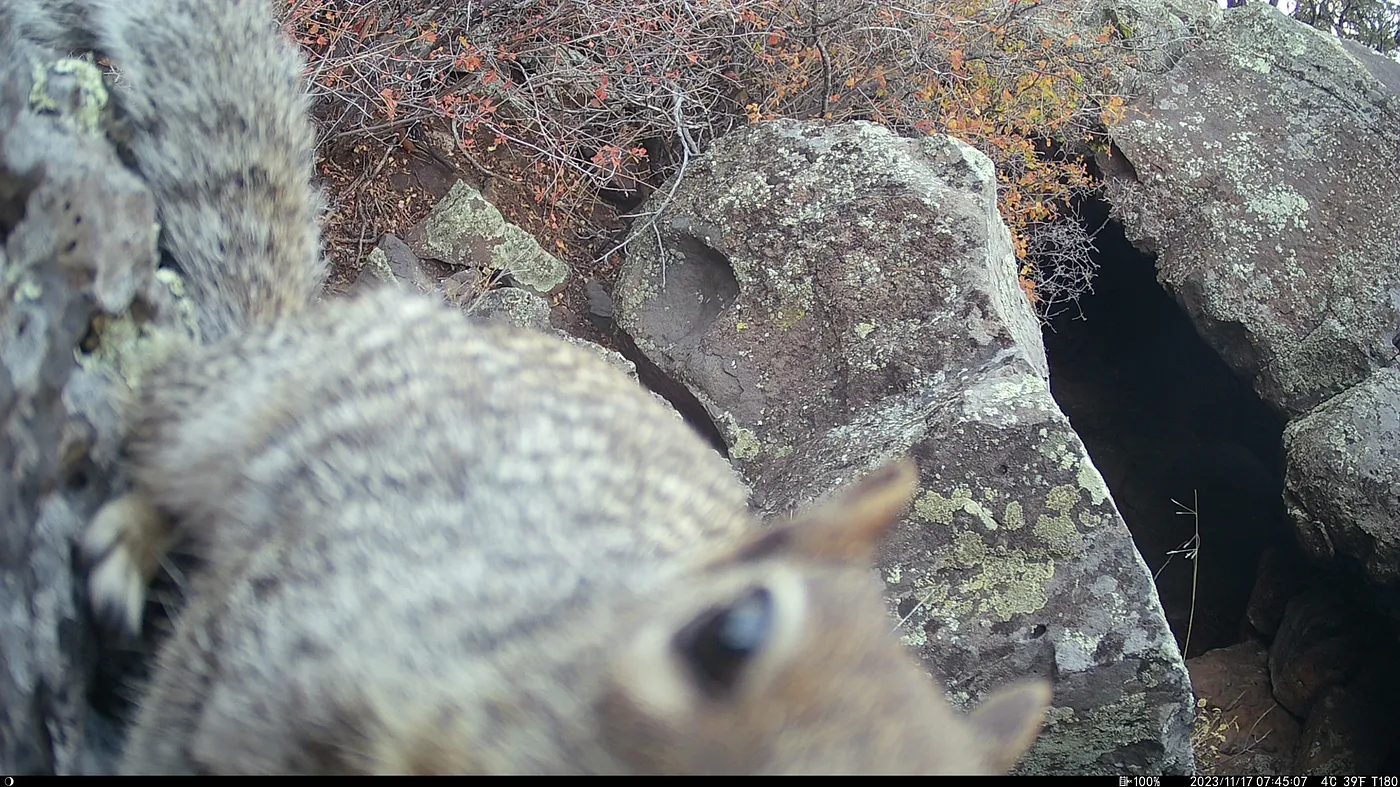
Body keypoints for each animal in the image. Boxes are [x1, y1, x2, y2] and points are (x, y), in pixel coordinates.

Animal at [40, 0, 1052, 772]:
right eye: (728, 634)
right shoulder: (300, 610)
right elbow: (182, 706)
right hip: (245, 410)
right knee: (163, 431)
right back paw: (128, 542)